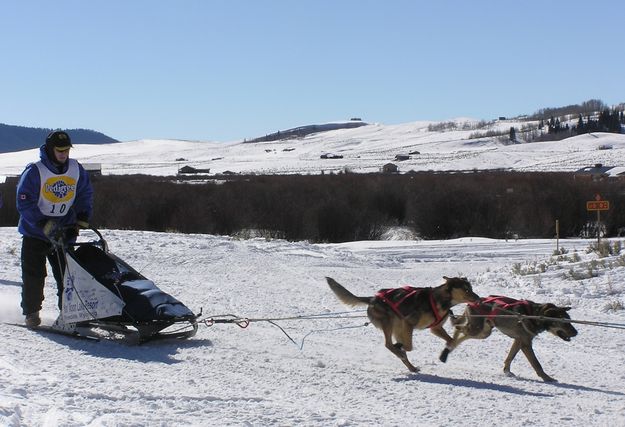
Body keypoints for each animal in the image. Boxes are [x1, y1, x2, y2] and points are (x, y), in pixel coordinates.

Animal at [326, 276, 478, 372]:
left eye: (471, 288)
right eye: (466, 289)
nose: (478, 297)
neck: (439, 300)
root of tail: (373, 299)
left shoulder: (435, 328)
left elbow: (451, 340)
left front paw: (446, 350)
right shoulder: (409, 323)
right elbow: (409, 346)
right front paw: (401, 348)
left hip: (398, 328)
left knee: (397, 349)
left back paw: (411, 366)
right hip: (389, 323)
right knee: (388, 344)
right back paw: (398, 350)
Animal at [438, 296, 576, 382]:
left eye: (569, 320)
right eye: (564, 322)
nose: (576, 332)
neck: (535, 314)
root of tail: (471, 301)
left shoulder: (519, 341)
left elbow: (510, 357)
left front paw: (507, 371)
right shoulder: (526, 344)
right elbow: (537, 364)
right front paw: (547, 378)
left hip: (483, 332)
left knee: (460, 330)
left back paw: (448, 348)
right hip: (477, 329)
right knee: (458, 328)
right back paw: (448, 347)